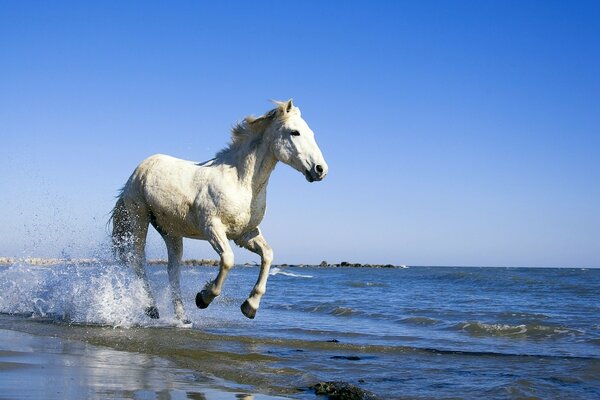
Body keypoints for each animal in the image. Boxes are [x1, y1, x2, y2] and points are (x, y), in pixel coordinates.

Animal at [112, 101, 328, 324]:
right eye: (295, 132)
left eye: (311, 133)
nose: (320, 169)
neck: (241, 182)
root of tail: (139, 170)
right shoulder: (212, 227)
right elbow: (228, 260)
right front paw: (203, 298)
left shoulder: (245, 234)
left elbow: (268, 255)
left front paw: (250, 306)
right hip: (139, 218)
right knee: (138, 260)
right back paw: (151, 309)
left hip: (171, 232)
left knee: (173, 271)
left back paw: (183, 318)